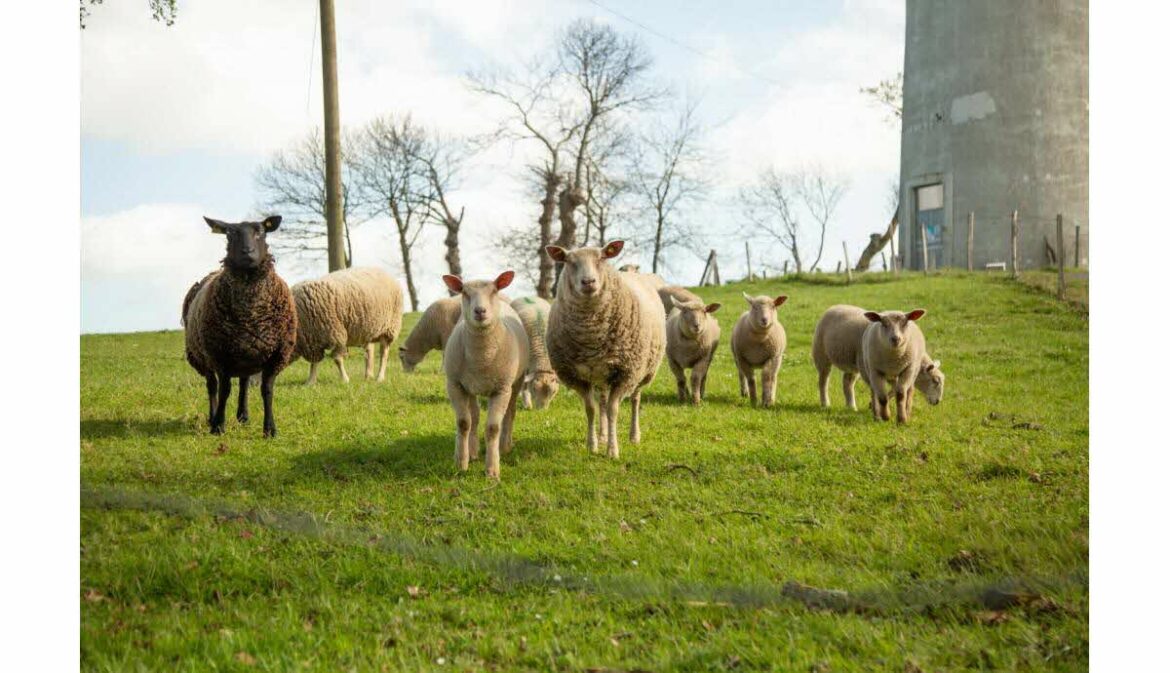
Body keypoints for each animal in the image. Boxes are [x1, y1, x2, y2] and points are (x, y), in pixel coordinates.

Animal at [182, 215, 297, 438]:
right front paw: (218, 425)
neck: (251, 314)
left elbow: (267, 390)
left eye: (261, 231)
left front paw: (270, 429)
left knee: (243, 384)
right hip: (203, 356)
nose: (247, 252)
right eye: (230, 234)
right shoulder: (220, 355)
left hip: (246, 355)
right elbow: (224, 390)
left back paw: (243, 415)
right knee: (212, 386)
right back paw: (212, 417)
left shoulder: (276, 355)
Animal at [442, 271, 529, 479]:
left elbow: (493, 428)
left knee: (510, 413)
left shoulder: (501, 388)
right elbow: (463, 423)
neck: (481, 358)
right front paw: (461, 463)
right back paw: (472, 451)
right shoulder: (455, 385)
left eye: (493, 291)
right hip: (471, 387)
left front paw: (492, 470)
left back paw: (505, 446)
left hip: (515, 382)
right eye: (464, 292)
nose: (480, 311)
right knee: (474, 417)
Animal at [545, 240, 666, 458]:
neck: (591, 335)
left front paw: (612, 450)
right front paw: (593, 444)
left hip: (644, 371)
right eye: (569, 261)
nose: (588, 282)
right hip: (601, 375)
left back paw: (633, 435)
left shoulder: (625, 373)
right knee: (601, 400)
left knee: (635, 399)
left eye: (602, 258)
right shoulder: (577, 377)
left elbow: (613, 410)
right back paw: (602, 435)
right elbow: (591, 409)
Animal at [813, 304, 946, 411]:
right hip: (822, 355)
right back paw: (825, 404)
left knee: (847, 382)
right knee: (823, 381)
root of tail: (835, 306)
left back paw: (851, 407)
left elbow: (895, 388)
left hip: (853, 361)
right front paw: (875, 405)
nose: (937, 402)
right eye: (935, 381)